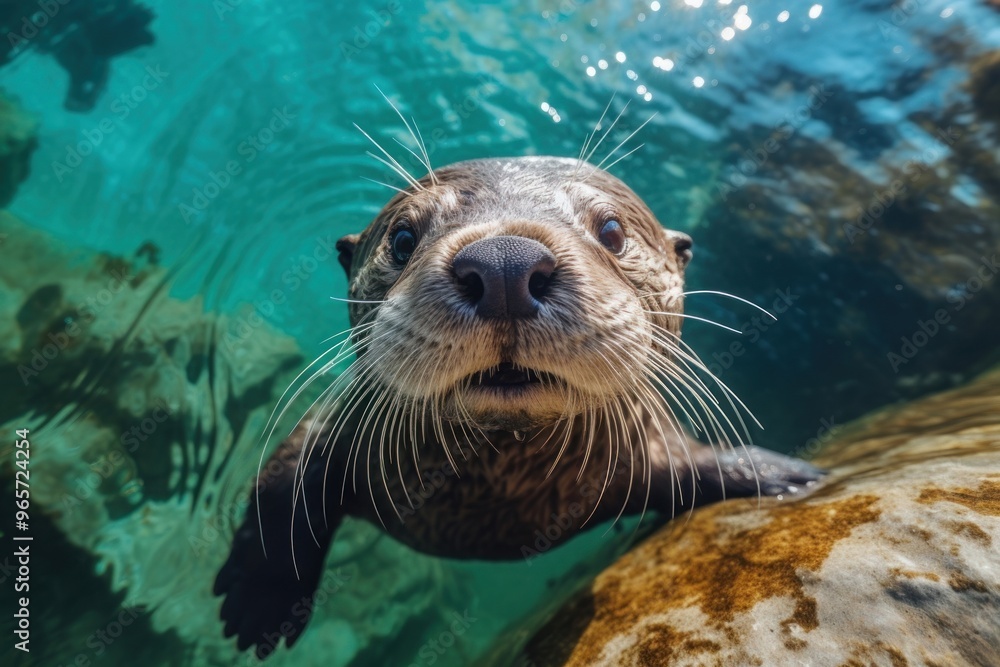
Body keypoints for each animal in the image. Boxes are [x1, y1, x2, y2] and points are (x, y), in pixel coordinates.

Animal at [213, 156, 822, 658]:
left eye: (612, 231)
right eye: (404, 237)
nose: (504, 263)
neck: (496, 508)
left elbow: (696, 466)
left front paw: (783, 476)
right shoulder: (348, 421)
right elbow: (285, 477)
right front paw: (261, 599)